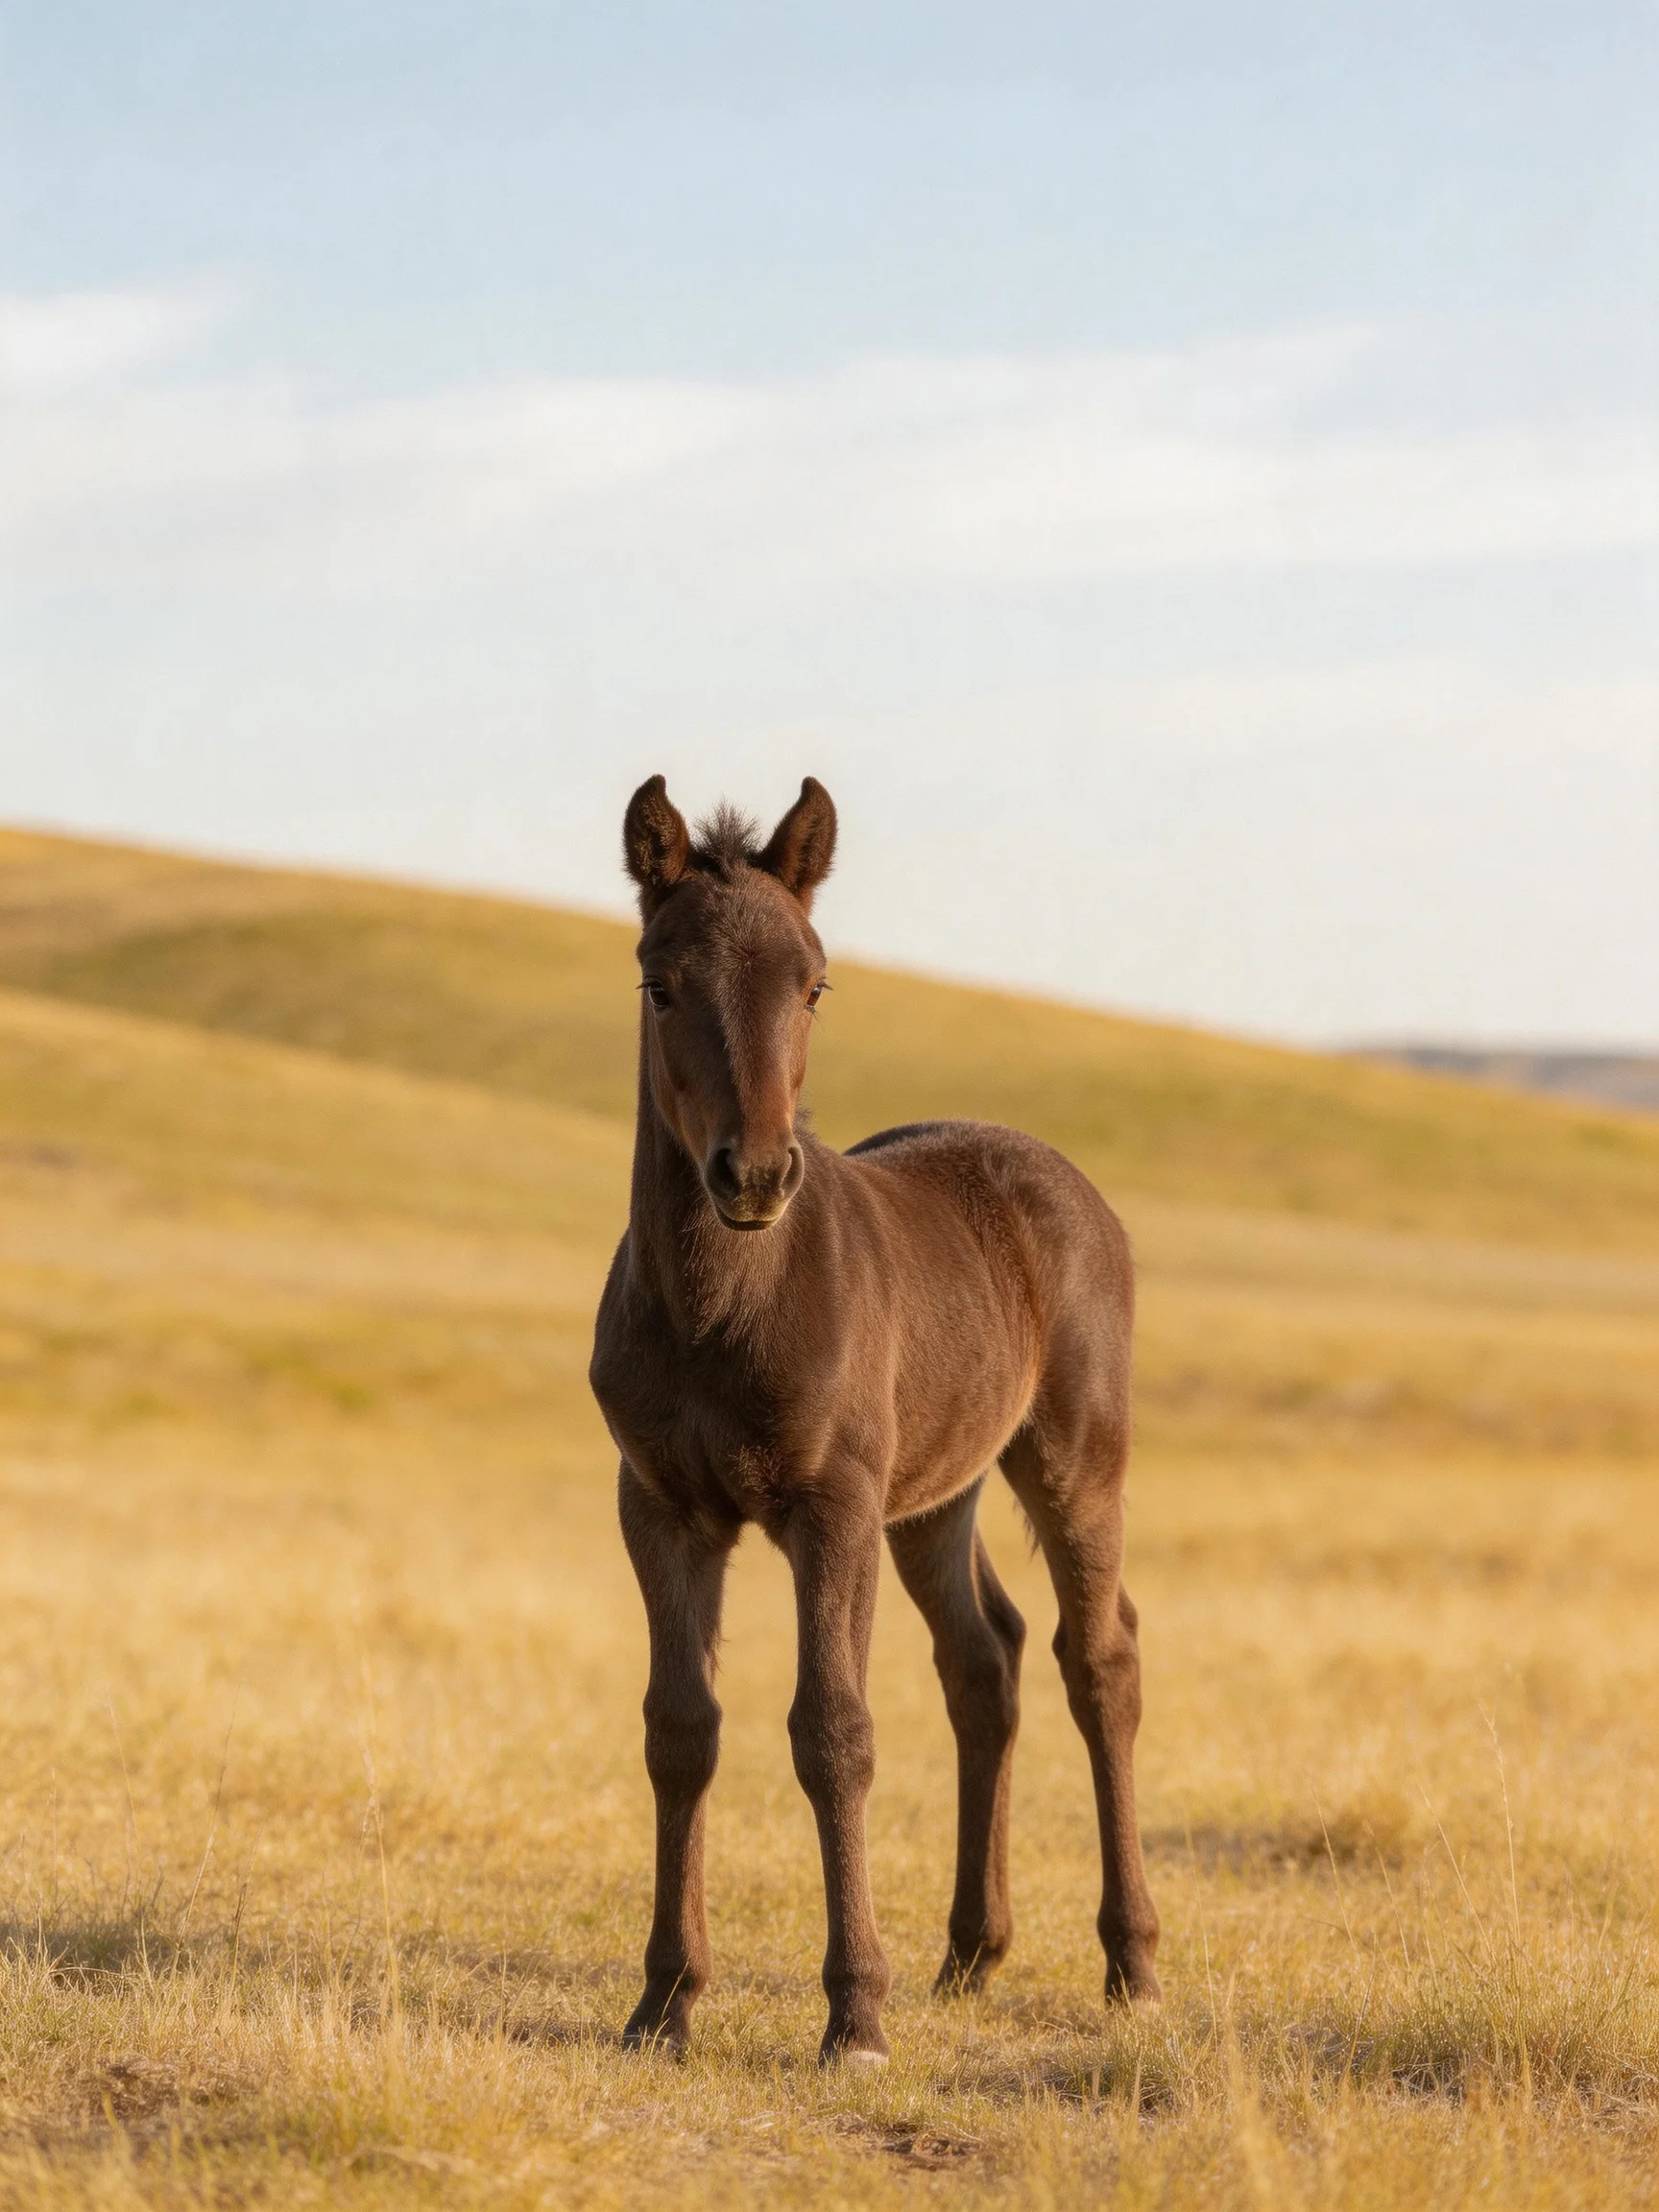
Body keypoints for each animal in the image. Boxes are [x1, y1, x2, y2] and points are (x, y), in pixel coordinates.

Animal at [589, 774, 1160, 2064]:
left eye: (814, 983)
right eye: (659, 982)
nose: (752, 1175)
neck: (724, 1305)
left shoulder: (831, 1504)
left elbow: (833, 1732)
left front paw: (853, 2014)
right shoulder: (661, 1506)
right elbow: (678, 1730)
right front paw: (664, 2001)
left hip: (1072, 1459)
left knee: (1098, 1660)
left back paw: (1133, 1962)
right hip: (935, 1497)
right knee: (985, 1660)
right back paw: (970, 1953)